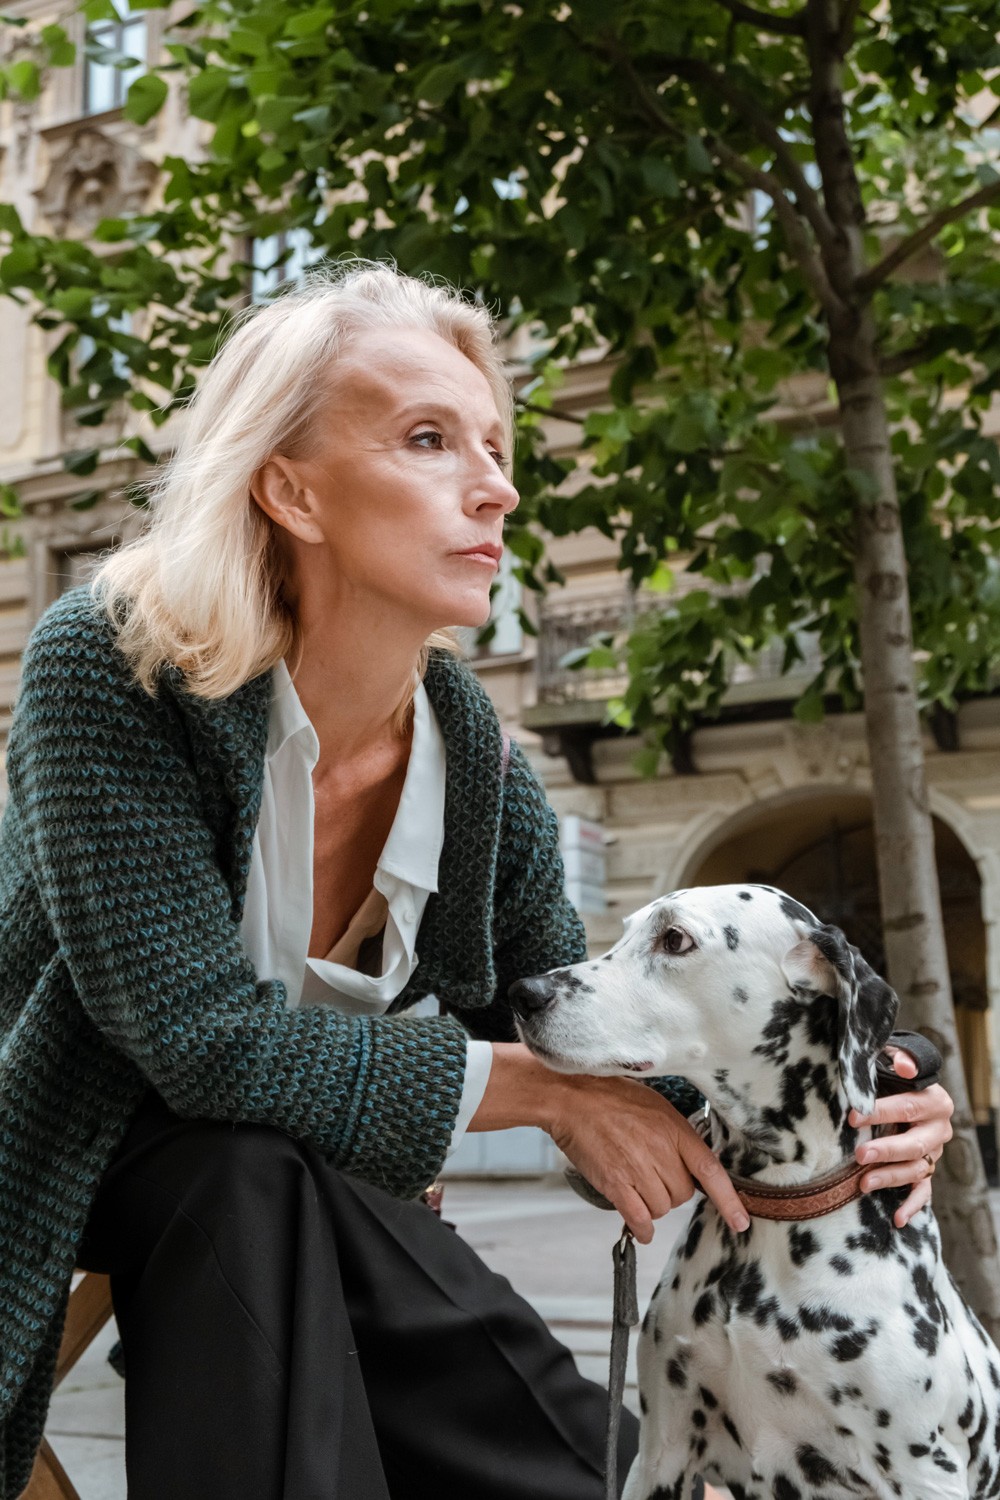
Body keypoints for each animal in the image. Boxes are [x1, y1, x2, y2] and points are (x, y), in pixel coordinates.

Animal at [512, 882, 995, 1494]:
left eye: (675, 939)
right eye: (623, 932)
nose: (523, 992)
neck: (778, 1213)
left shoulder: (925, 1471)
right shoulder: (660, 1453)